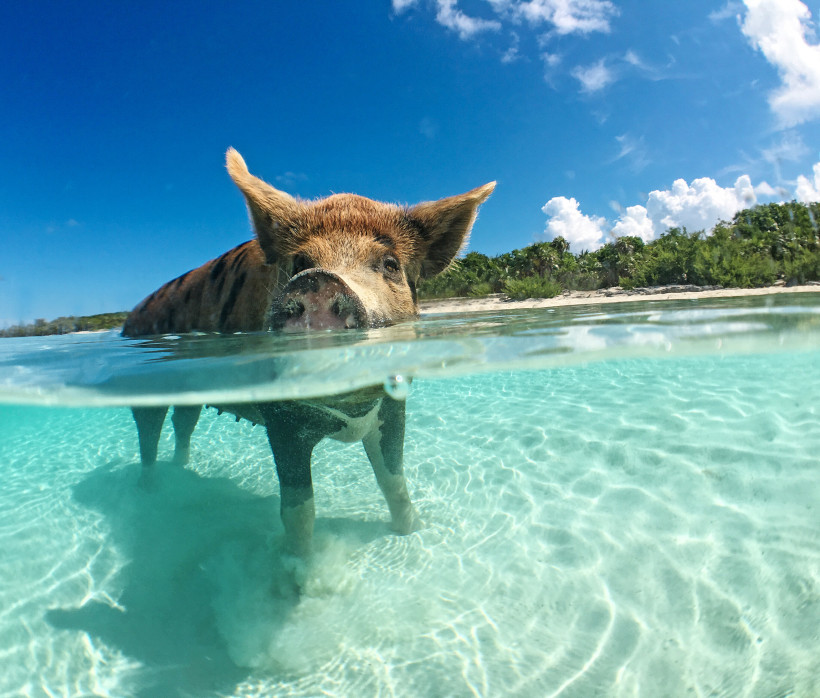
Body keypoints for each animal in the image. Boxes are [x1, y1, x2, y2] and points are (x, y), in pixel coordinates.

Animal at [122, 148, 495, 557]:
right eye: (300, 262)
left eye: (390, 264)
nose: (320, 281)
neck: (351, 413)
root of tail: (130, 317)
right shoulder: (282, 418)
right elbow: (299, 507)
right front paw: (298, 567)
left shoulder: (393, 406)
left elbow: (393, 480)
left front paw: (412, 531)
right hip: (144, 389)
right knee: (149, 434)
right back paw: (150, 491)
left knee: (183, 422)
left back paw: (181, 473)